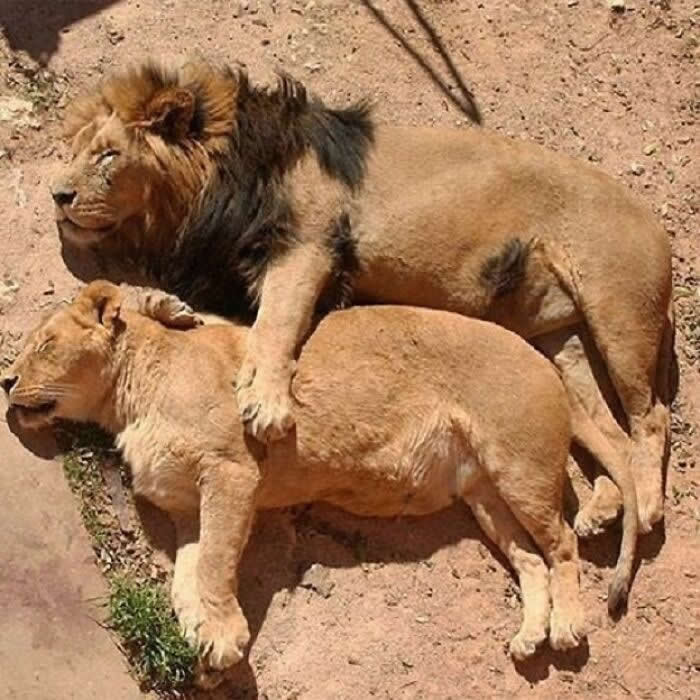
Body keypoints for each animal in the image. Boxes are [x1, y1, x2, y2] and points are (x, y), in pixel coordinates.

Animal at [2, 281, 638, 684]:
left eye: (45, 345)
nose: (6, 380)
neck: (127, 400)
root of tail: (543, 358)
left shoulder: (232, 473)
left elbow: (215, 565)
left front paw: (224, 636)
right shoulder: (187, 508)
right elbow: (185, 577)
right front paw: (199, 640)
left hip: (520, 467)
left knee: (564, 544)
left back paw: (567, 626)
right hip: (484, 496)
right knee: (532, 560)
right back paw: (531, 634)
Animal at [50, 59, 673, 537]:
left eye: (108, 155)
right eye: (74, 151)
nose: (57, 194)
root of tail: (655, 220)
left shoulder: (310, 244)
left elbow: (275, 324)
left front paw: (267, 403)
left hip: (620, 317)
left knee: (651, 417)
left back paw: (646, 507)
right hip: (558, 342)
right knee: (608, 431)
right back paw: (604, 508)